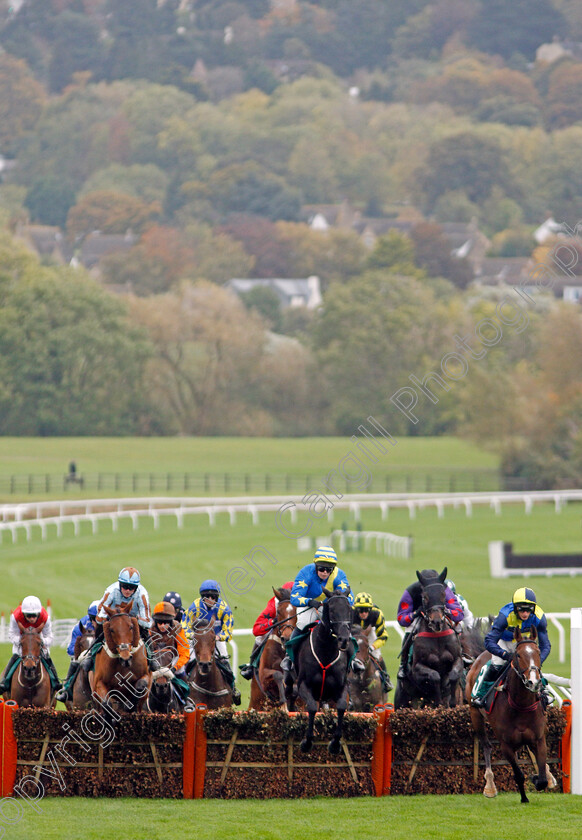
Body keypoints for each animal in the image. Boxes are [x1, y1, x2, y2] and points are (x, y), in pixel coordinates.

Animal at [286, 592, 352, 756]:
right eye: (332, 610)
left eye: (349, 609)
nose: (344, 640)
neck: (326, 652)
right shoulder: (304, 685)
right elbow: (311, 708)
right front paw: (307, 742)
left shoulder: (341, 687)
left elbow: (341, 707)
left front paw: (335, 744)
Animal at [468, 628, 560, 804]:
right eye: (517, 655)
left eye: (538, 652)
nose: (533, 682)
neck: (521, 705)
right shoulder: (506, 745)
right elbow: (519, 774)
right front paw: (524, 797)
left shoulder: (539, 738)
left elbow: (542, 777)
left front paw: (540, 777)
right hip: (475, 715)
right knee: (486, 746)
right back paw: (490, 786)